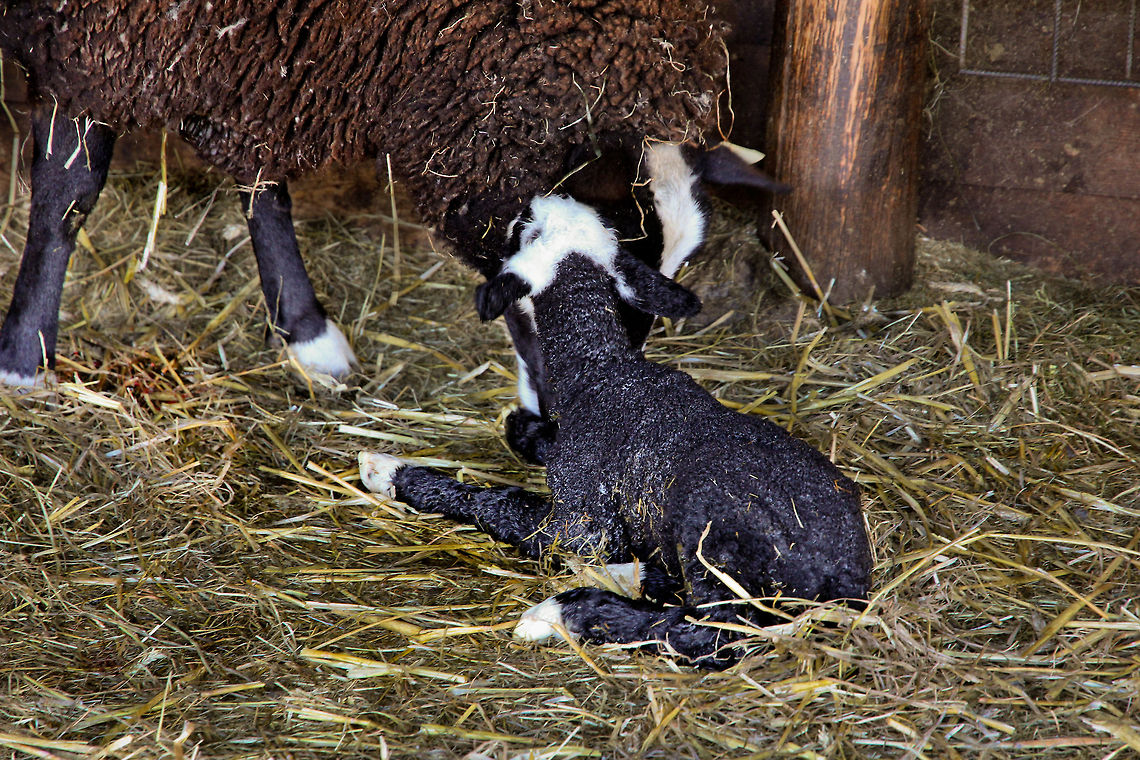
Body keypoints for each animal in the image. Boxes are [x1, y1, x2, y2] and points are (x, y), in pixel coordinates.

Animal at [0, 0, 783, 392]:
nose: (564, 427)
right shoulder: (87, 39)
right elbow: (67, 191)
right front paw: (23, 355)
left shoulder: (265, 59)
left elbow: (264, 182)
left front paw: (307, 332)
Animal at [358, 194, 872, 668]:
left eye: (525, 228)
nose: (535, 200)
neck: (600, 374)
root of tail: (846, 582)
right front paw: (522, 425)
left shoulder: (584, 519)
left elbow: (505, 506)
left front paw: (392, 471)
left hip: (713, 532)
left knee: (713, 632)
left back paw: (566, 611)